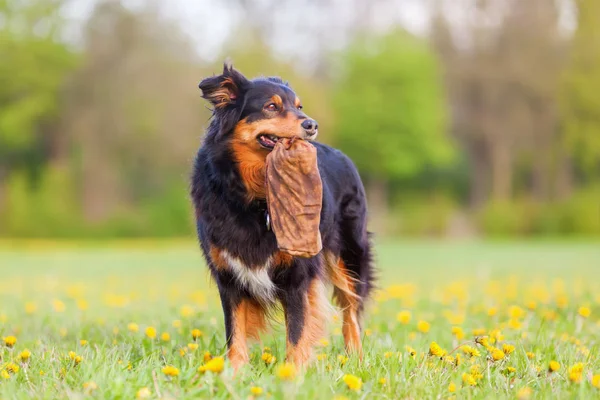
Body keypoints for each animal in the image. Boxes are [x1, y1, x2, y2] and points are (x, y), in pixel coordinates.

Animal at [192, 64, 372, 370]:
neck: (255, 197)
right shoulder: (228, 275)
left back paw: (356, 359)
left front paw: (292, 373)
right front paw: (234, 372)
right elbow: (235, 331)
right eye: (271, 107)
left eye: (299, 107)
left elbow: (298, 330)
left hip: (348, 255)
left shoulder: (297, 275)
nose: (311, 125)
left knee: (351, 309)